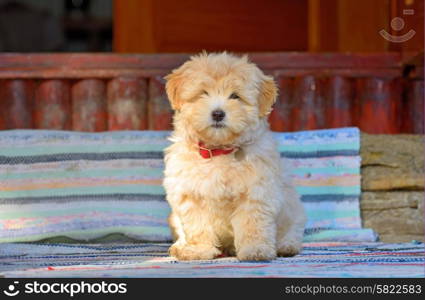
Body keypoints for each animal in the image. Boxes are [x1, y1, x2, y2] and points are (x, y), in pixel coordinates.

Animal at [162, 51, 304, 260]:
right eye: (203, 93)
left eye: (235, 96)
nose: (218, 114)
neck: (218, 151)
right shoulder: (190, 194)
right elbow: (197, 225)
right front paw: (198, 250)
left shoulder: (256, 193)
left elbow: (253, 224)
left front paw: (255, 250)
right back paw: (180, 246)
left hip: (293, 209)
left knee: (293, 229)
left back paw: (287, 246)